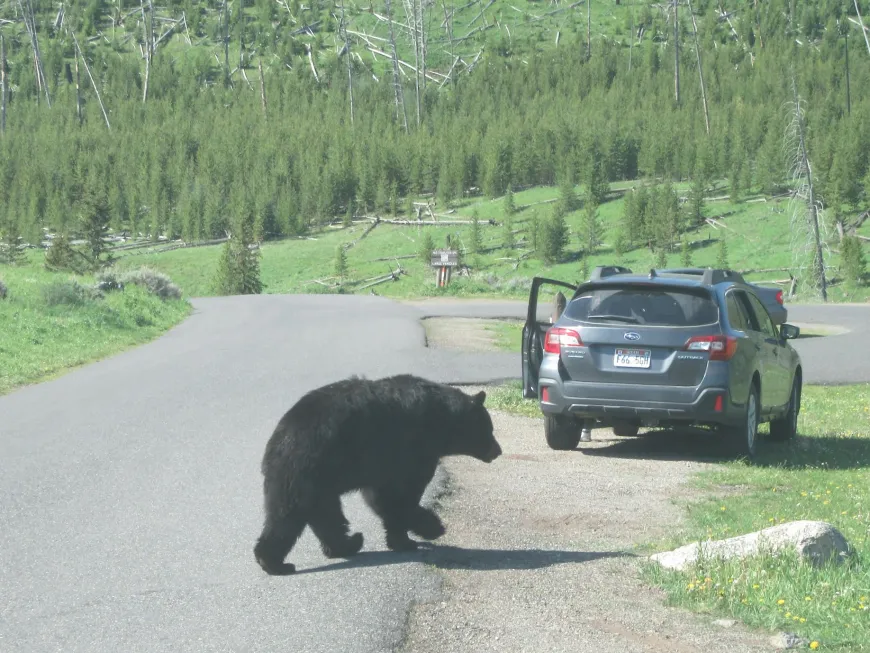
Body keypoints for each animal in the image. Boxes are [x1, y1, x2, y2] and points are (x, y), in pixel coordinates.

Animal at [253, 373, 502, 576]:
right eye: (489, 429)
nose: (498, 450)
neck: (441, 423)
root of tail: (282, 437)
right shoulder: (412, 449)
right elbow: (400, 496)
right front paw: (430, 528)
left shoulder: (381, 465)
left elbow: (381, 498)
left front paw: (401, 538)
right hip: (310, 471)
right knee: (292, 515)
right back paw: (278, 562)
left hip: (313, 481)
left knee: (318, 516)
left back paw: (342, 546)